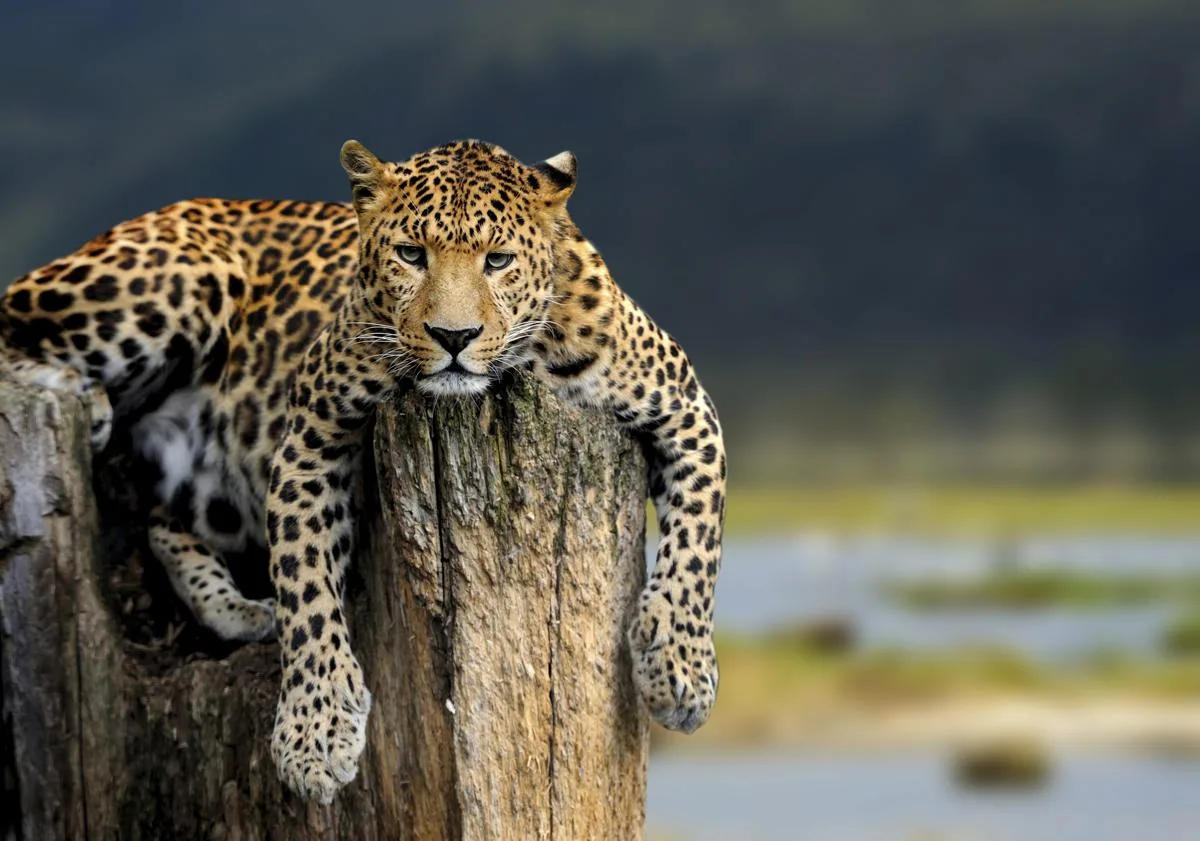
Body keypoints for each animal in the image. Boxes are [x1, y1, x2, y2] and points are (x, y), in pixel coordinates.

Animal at [0, 139, 727, 803]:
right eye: (411, 254)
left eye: (497, 260)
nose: (454, 337)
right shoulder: (310, 433)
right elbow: (305, 584)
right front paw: (315, 733)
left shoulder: (687, 408)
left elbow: (699, 540)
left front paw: (679, 669)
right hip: (175, 278)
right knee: (13, 324)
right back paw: (85, 397)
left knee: (162, 521)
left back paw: (240, 609)